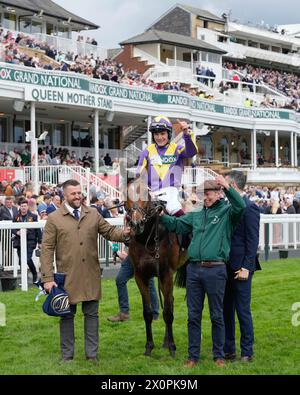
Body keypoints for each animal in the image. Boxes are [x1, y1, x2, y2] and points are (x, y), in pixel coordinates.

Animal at [123, 179, 184, 358]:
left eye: (146, 195)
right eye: (127, 196)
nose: (137, 224)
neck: (148, 239)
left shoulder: (166, 274)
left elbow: (168, 313)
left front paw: (172, 347)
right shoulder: (140, 276)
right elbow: (148, 312)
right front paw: (149, 346)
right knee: (170, 300)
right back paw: (164, 341)